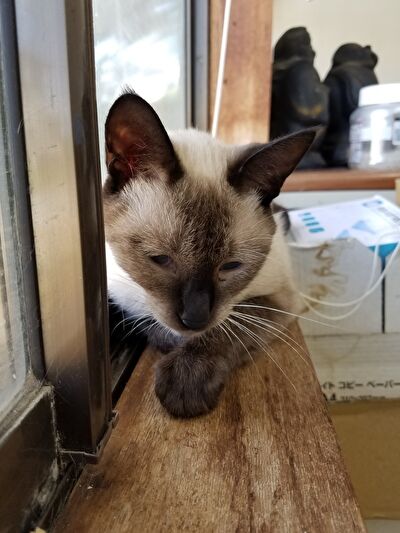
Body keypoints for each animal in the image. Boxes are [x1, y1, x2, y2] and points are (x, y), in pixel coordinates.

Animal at [103, 90, 315, 418]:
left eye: (231, 266)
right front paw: (166, 339)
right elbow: (138, 319)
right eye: (160, 260)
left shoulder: (279, 300)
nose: (195, 318)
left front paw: (185, 382)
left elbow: (229, 328)